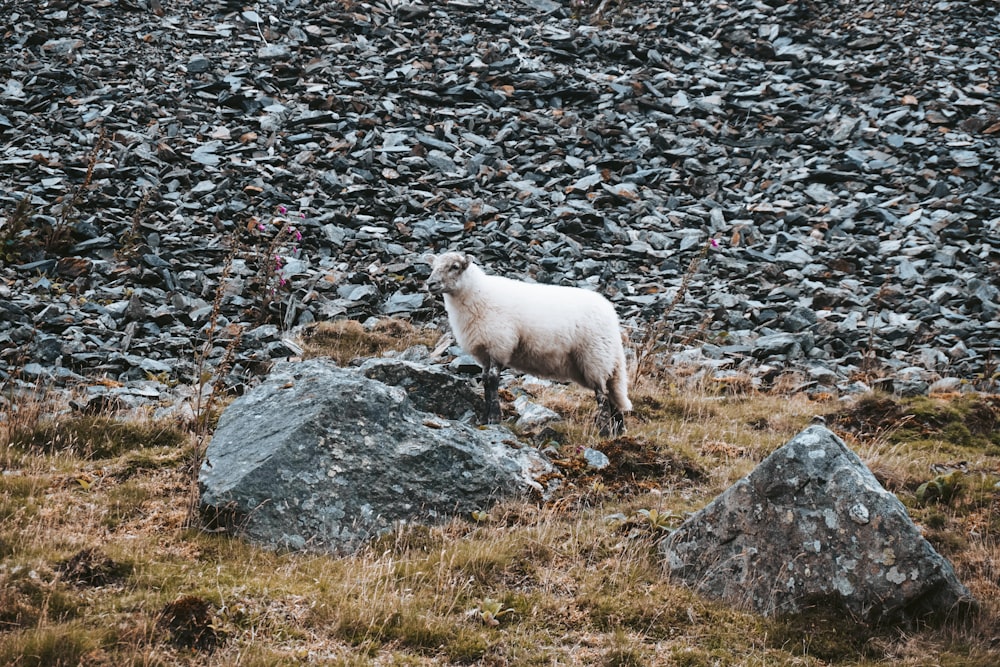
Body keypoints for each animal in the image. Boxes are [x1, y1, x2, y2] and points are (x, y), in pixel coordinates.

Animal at [424, 253, 632, 436]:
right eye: (432, 266)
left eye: (454, 267)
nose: (430, 284)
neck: (476, 293)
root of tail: (611, 313)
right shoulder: (484, 352)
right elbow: (484, 381)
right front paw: (484, 418)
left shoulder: (499, 344)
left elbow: (492, 380)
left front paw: (494, 419)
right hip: (597, 363)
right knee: (612, 395)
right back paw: (618, 432)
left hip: (595, 357)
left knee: (602, 395)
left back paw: (604, 432)